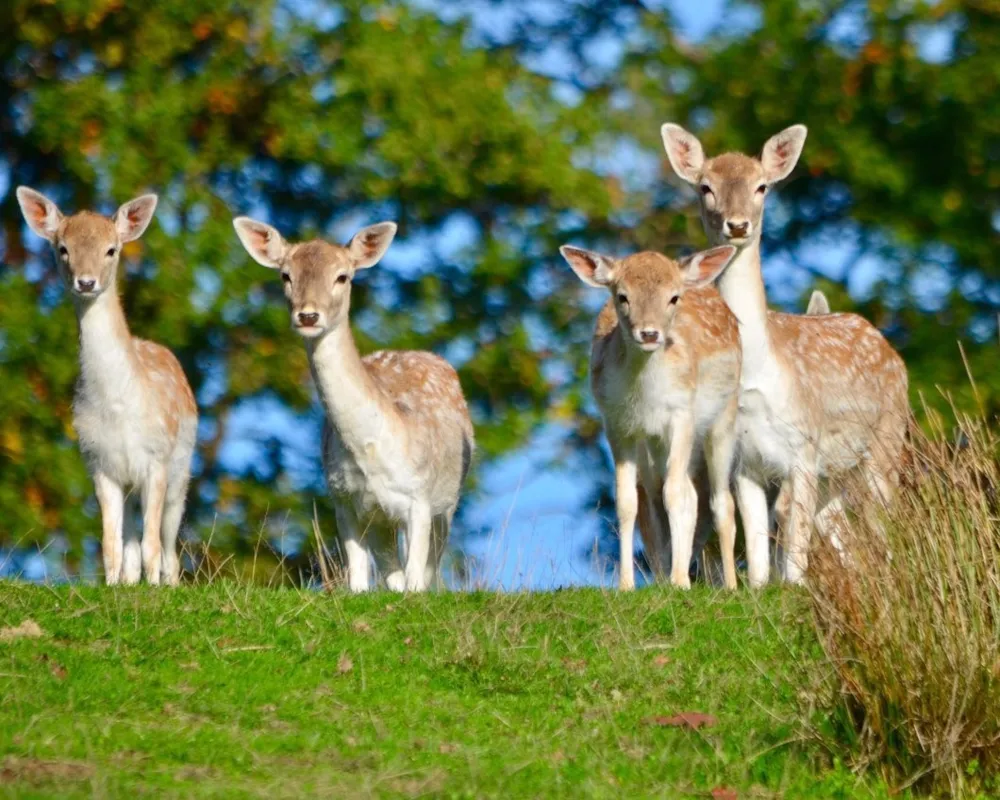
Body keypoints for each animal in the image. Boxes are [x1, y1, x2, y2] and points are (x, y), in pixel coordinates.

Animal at [15, 189, 198, 588]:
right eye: (63, 248)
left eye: (111, 249)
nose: (86, 282)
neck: (117, 408)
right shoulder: (99, 463)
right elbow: (111, 545)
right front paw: (113, 586)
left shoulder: (156, 458)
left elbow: (151, 544)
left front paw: (155, 591)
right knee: (130, 542)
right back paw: (130, 583)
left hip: (182, 468)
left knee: (169, 543)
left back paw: (170, 583)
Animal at [232, 216, 474, 592]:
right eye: (286, 275)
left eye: (343, 276)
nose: (308, 316)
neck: (370, 453)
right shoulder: (344, 502)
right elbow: (359, 582)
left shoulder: (419, 498)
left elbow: (416, 582)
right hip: (382, 522)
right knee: (392, 571)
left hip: (447, 503)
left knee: (427, 568)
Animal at [564, 244, 744, 588]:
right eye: (622, 296)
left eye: (673, 297)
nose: (649, 334)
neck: (644, 396)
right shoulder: (617, 423)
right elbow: (627, 501)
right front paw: (627, 584)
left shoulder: (682, 415)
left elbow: (674, 494)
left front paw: (679, 581)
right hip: (656, 443)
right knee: (681, 493)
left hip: (724, 417)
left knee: (720, 501)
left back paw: (729, 584)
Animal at [660, 122, 912, 584]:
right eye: (705, 187)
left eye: (762, 186)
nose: (737, 225)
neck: (758, 374)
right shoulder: (744, 463)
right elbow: (758, 543)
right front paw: (759, 585)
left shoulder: (804, 447)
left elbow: (794, 540)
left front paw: (794, 584)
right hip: (836, 473)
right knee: (840, 528)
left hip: (886, 439)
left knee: (882, 522)